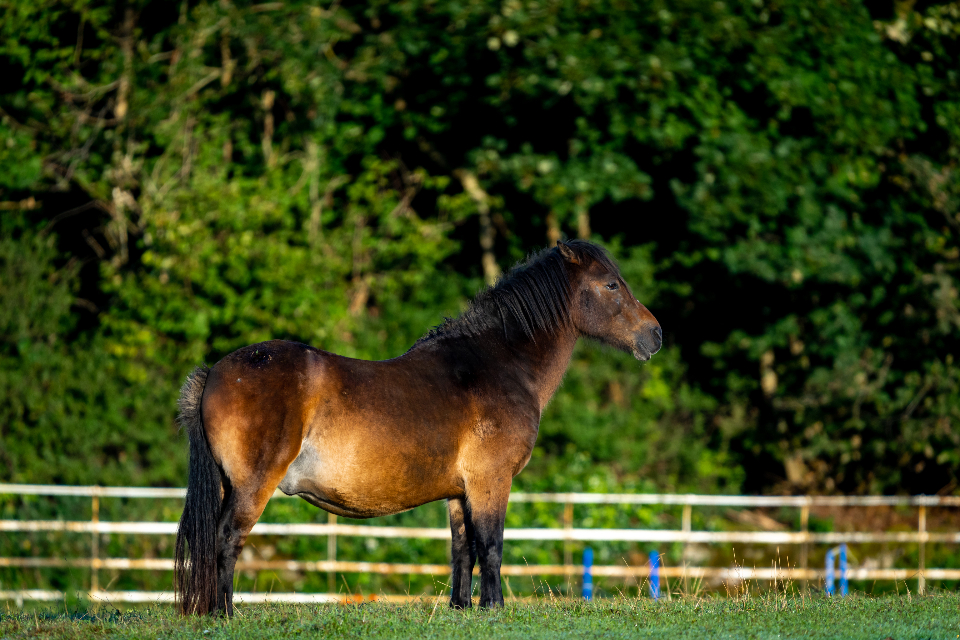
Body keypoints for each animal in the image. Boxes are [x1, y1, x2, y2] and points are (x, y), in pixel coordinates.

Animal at [174, 239, 661, 616]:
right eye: (611, 284)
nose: (655, 335)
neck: (498, 364)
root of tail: (215, 372)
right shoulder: (491, 481)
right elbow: (492, 544)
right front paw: (494, 607)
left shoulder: (459, 492)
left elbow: (463, 549)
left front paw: (462, 608)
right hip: (251, 486)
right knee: (226, 539)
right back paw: (225, 613)